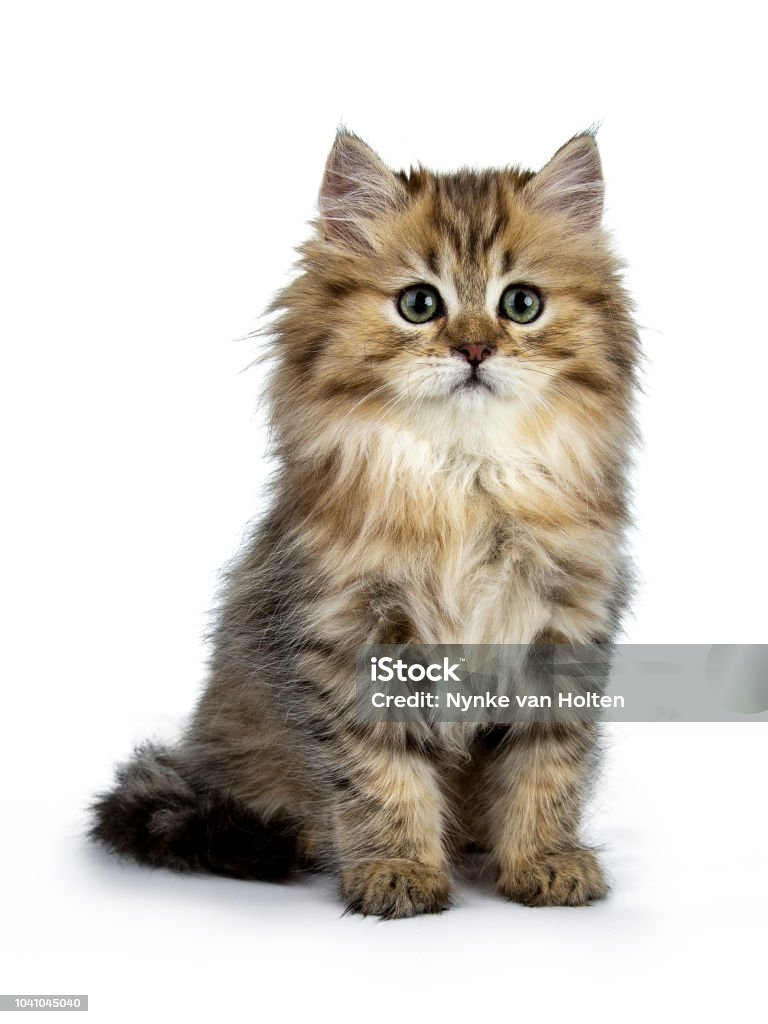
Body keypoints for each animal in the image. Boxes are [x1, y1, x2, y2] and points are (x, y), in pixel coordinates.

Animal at [90, 130, 638, 921]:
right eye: (419, 303)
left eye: (522, 303)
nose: (476, 349)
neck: (464, 481)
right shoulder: (350, 634)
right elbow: (380, 776)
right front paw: (397, 870)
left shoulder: (564, 631)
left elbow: (547, 771)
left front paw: (543, 861)